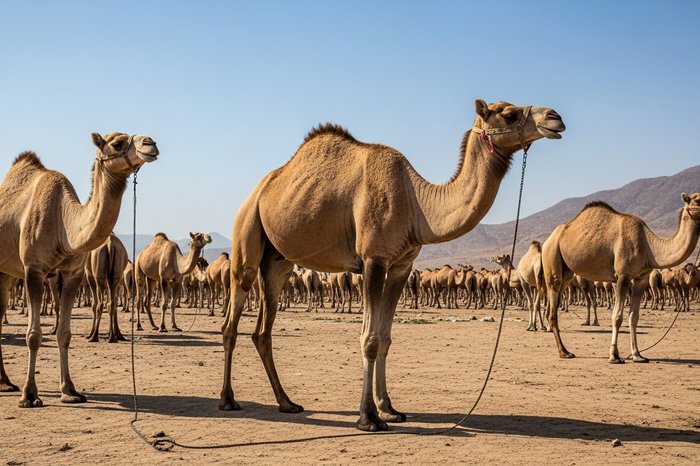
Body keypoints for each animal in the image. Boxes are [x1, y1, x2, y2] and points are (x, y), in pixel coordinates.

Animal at [0, 132, 158, 406]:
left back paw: (6, 383)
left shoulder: (73, 273)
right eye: (117, 143)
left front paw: (70, 391)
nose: (150, 143)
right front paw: (29, 395)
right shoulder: (34, 270)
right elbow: (33, 336)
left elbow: (65, 334)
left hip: (7, 272)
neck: (63, 222)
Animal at [219, 99, 565, 431]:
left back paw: (287, 402)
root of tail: (259, 190)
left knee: (263, 330)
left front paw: (389, 408)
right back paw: (228, 400)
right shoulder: (374, 259)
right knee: (232, 319)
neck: (417, 204)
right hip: (246, 234)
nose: (555, 118)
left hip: (279, 262)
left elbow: (385, 338)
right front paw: (368, 417)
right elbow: (370, 340)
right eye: (508, 114)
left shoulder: (401, 265)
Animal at [542, 194, 700, 363]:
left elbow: (634, 317)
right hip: (552, 257)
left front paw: (637, 355)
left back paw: (563, 348)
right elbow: (617, 316)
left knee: (553, 305)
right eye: (697, 200)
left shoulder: (641, 279)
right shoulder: (622, 276)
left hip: (567, 273)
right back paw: (564, 352)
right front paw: (614, 356)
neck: (649, 245)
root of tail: (548, 240)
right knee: (552, 308)